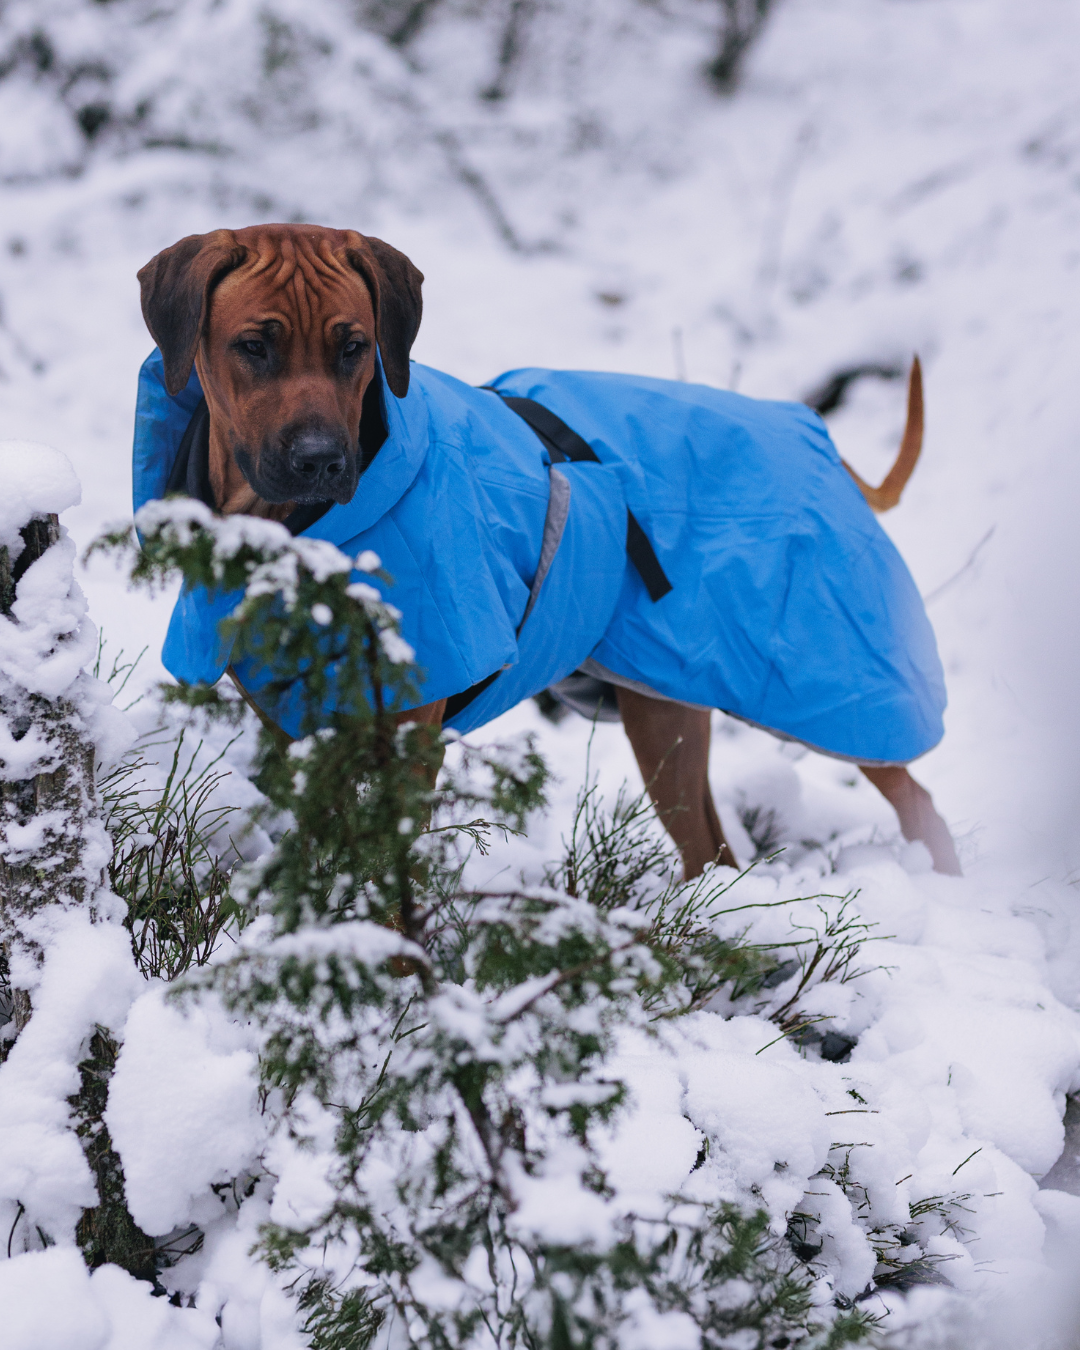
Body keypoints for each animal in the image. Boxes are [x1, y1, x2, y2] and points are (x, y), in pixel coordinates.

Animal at [137, 229, 961, 885]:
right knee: (711, 846)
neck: (287, 541)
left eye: (353, 348)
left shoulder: (409, 734)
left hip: (825, 676)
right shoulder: (301, 735)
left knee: (916, 796)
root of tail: (808, 430)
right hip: (666, 699)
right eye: (254, 346)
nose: (320, 461)